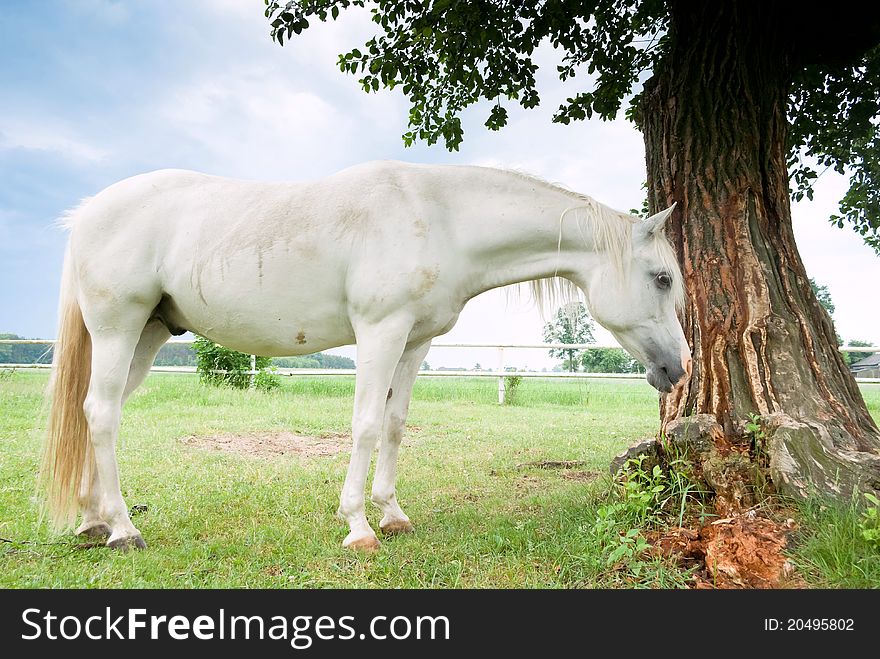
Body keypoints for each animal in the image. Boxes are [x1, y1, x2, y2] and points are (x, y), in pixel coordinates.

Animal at [41, 161, 692, 552]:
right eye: (661, 278)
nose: (677, 370)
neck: (439, 217)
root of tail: (89, 212)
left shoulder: (414, 339)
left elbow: (397, 424)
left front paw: (392, 513)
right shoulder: (379, 332)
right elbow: (366, 425)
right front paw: (357, 526)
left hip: (147, 335)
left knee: (94, 412)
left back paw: (93, 520)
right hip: (119, 327)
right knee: (102, 414)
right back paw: (123, 529)